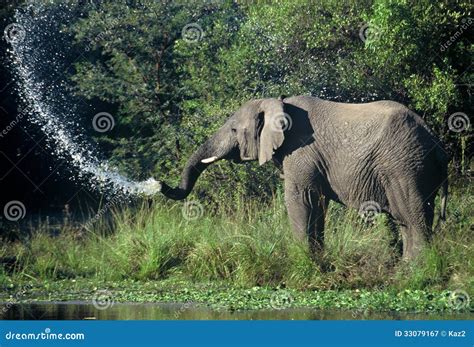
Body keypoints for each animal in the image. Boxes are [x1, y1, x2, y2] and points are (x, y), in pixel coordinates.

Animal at [158, 95, 448, 260]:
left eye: (233, 130)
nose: (159, 183)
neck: (276, 102)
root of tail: (437, 143)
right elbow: (317, 204)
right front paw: (317, 260)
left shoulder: (301, 151)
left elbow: (300, 199)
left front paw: (303, 261)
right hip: (414, 167)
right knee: (410, 218)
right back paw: (407, 270)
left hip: (404, 166)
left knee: (412, 216)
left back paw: (417, 273)